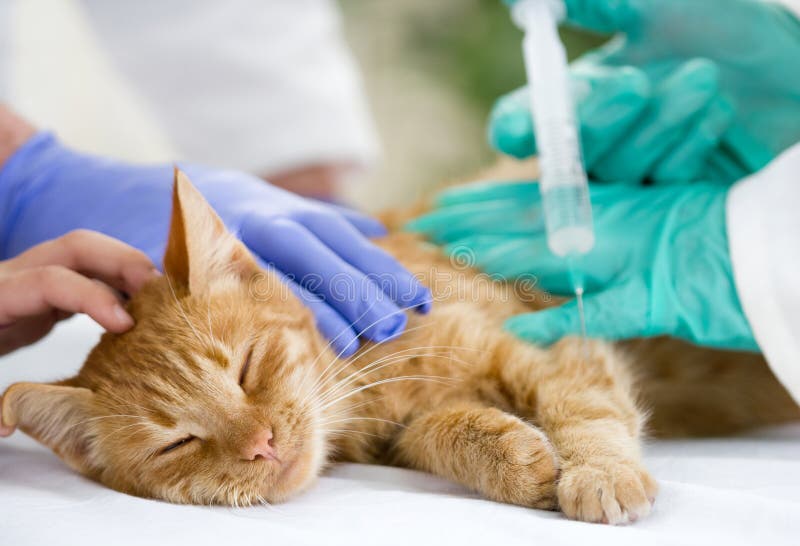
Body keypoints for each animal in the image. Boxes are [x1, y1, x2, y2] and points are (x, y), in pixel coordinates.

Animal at [1, 170, 800, 524]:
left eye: (247, 368)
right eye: (178, 443)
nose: (261, 445)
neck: (370, 380)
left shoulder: (557, 347)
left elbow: (587, 412)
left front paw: (598, 472)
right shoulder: (405, 434)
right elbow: (443, 433)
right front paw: (515, 460)